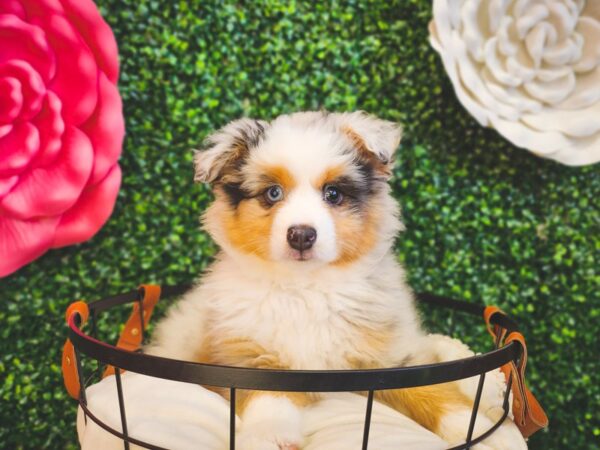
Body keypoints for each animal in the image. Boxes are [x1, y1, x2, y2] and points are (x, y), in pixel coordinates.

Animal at [146, 111, 520, 450]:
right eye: (272, 193)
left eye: (334, 194)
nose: (301, 235)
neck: (307, 288)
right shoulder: (249, 358)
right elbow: (268, 398)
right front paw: (270, 436)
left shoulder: (393, 360)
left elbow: (435, 391)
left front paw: (480, 430)